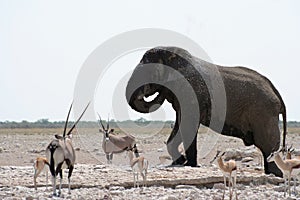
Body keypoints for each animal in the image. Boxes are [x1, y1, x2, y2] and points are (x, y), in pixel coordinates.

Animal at [125, 45, 288, 177]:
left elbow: (187, 124)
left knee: (267, 145)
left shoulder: (190, 90)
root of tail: (276, 93)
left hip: (264, 113)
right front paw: (180, 162)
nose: (159, 92)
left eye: (147, 73)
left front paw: (190, 164)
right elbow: (179, 124)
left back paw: (276, 174)